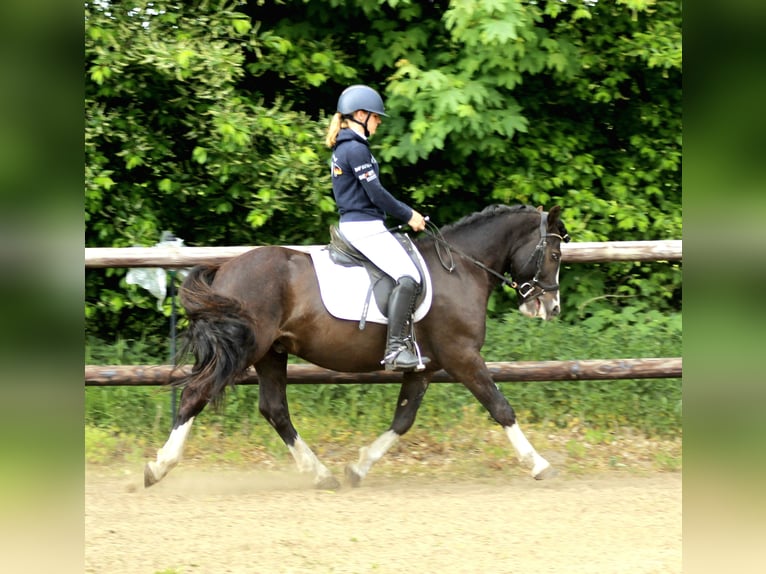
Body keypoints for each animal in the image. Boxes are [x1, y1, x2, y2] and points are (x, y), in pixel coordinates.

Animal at [144, 204, 570, 489]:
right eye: (553, 254)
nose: (551, 307)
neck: (461, 268)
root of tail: (225, 269)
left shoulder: (427, 366)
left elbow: (403, 419)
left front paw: (358, 468)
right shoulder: (461, 357)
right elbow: (501, 408)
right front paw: (539, 464)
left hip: (271, 353)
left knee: (274, 409)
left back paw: (322, 475)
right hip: (247, 350)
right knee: (196, 393)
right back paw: (158, 467)